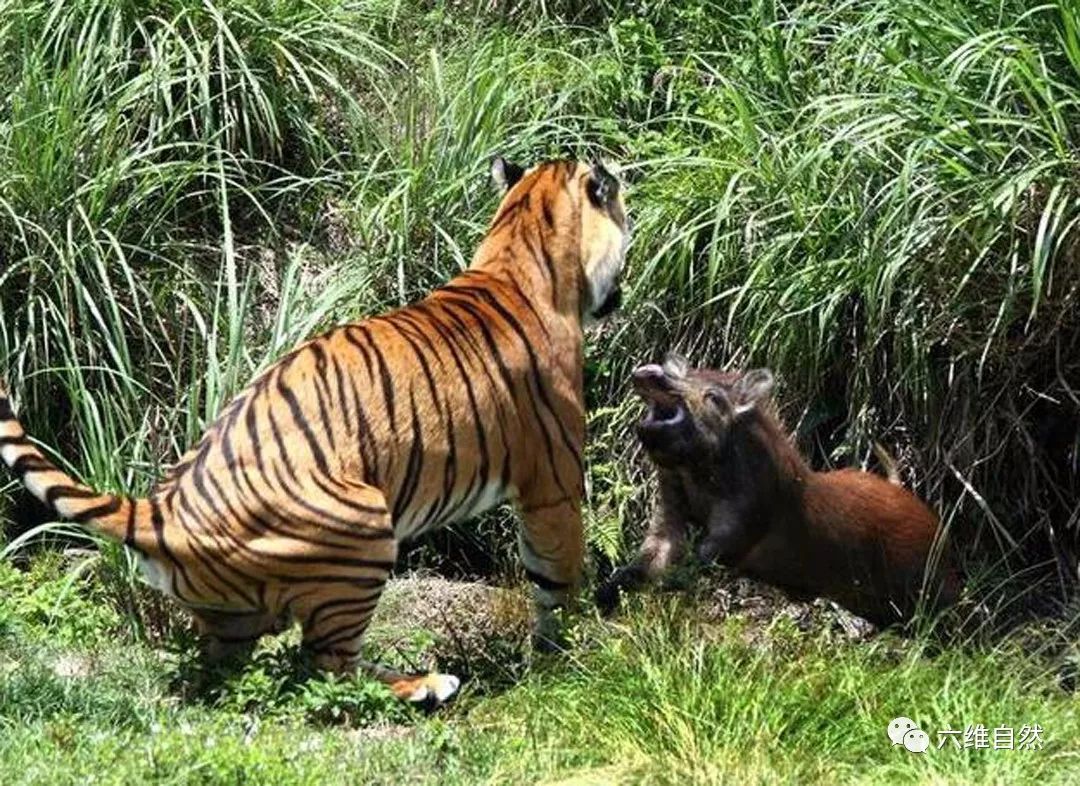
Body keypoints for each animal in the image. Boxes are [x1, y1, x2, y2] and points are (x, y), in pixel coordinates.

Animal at [0, 156, 630, 703]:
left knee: (229, 665)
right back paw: (426, 685)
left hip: (236, 610)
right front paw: (568, 655)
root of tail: (161, 512)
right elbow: (556, 576)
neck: (522, 245)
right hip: (367, 528)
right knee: (328, 666)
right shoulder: (553, 482)